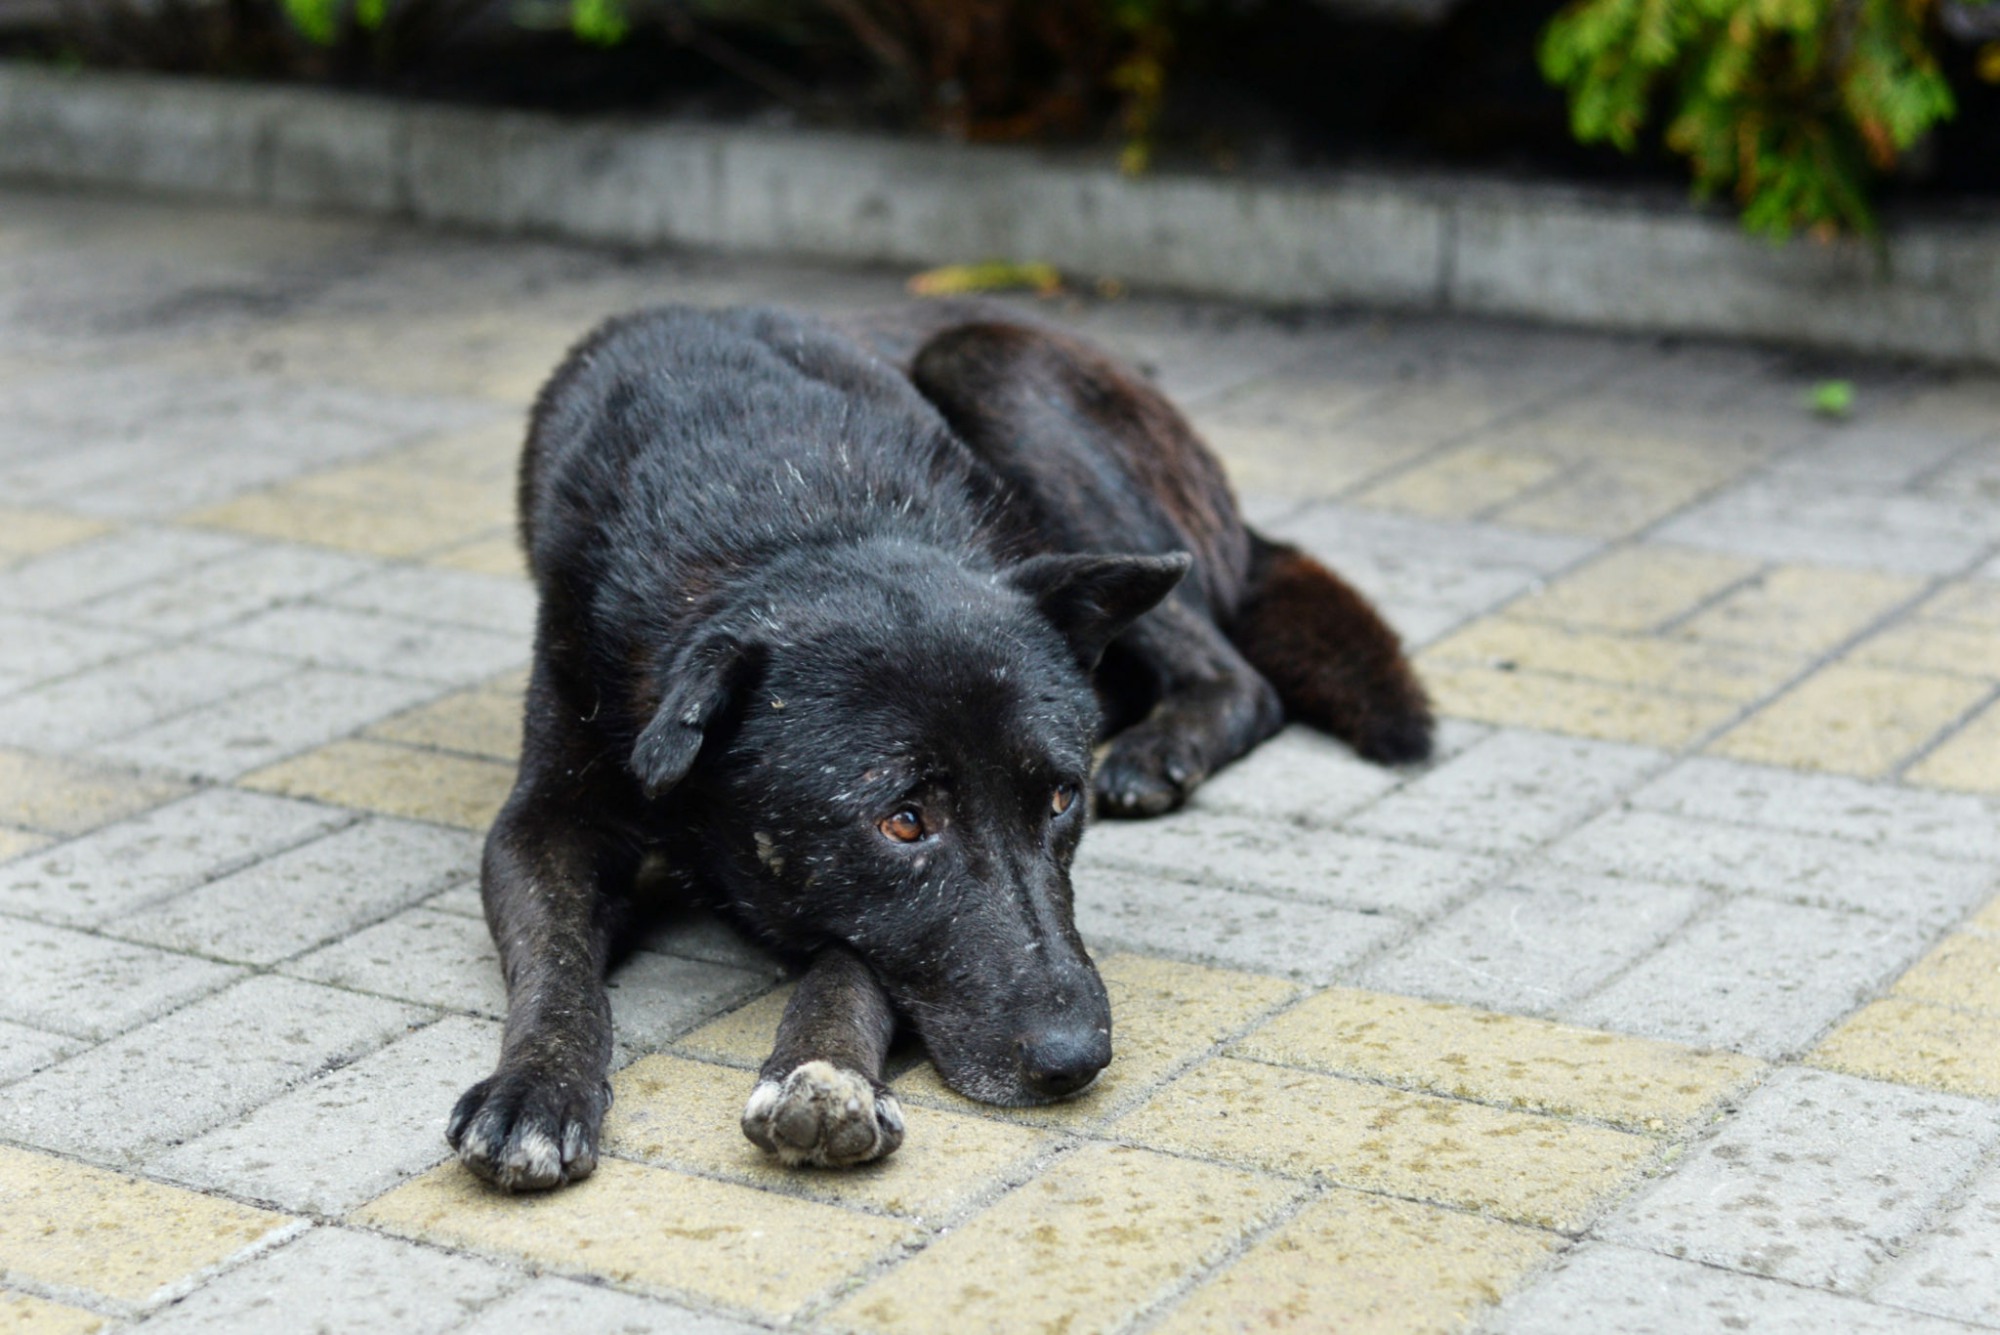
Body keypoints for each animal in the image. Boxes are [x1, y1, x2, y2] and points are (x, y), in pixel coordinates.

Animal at [446, 301, 1432, 1191]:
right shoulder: (543, 820)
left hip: (996, 371)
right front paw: (537, 1087)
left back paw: (1163, 747)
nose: (1078, 1057)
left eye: (1061, 799)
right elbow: (558, 966)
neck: (796, 510)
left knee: (1242, 678)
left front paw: (826, 1071)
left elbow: (852, 962)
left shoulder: (870, 920)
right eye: (905, 822)